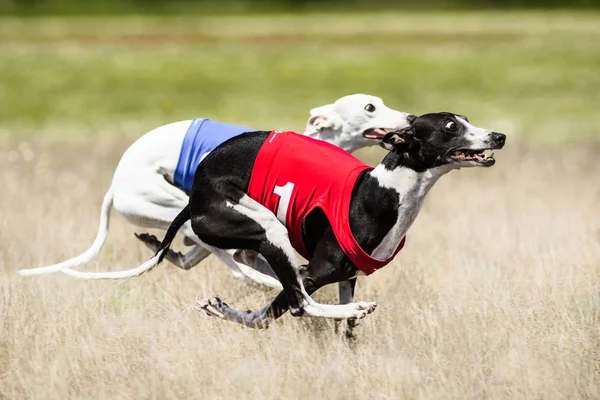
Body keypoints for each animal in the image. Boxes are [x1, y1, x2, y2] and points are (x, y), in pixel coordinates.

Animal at [18, 94, 412, 288]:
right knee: (220, 255)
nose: (410, 118)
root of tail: (115, 186)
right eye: (370, 107)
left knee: (193, 253)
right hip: (177, 205)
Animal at [99, 111, 506, 326]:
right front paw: (353, 310)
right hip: (268, 229)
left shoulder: (347, 278)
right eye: (451, 127)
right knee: (298, 302)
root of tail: (197, 194)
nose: (499, 136)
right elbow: (292, 303)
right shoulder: (313, 271)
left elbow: (274, 315)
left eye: (466, 119)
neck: (383, 190)